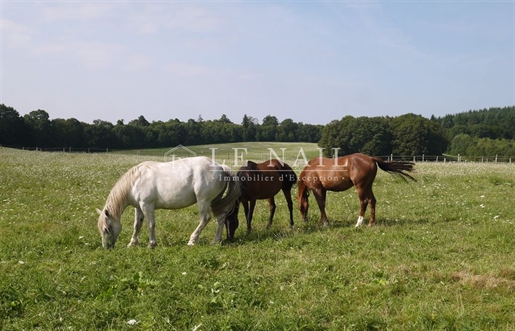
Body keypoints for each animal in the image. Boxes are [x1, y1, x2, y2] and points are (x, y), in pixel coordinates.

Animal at [97, 158, 242, 249]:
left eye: (106, 229)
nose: (106, 247)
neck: (136, 180)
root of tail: (220, 167)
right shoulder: (138, 207)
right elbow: (137, 225)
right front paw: (132, 243)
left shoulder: (147, 205)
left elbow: (150, 225)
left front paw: (151, 244)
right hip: (215, 201)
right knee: (221, 218)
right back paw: (215, 241)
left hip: (203, 201)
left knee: (205, 218)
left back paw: (192, 240)